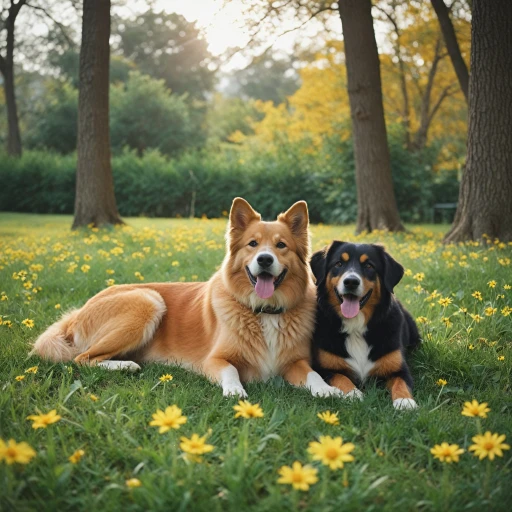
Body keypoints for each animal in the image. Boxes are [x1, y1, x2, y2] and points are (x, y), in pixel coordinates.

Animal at [32, 198, 344, 398]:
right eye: (253, 244)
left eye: (281, 246)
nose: (265, 260)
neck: (263, 311)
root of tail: (76, 314)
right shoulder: (214, 360)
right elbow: (231, 371)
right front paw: (235, 389)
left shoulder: (296, 362)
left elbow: (314, 375)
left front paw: (329, 391)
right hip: (148, 301)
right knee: (82, 358)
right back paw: (125, 365)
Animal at [308, 242, 420, 410]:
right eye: (339, 263)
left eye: (369, 265)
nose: (351, 282)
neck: (356, 327)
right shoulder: (325, 369)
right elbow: (341, 378)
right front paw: (353, 394)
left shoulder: (399, 368)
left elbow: (401, 383)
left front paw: (405, 402)